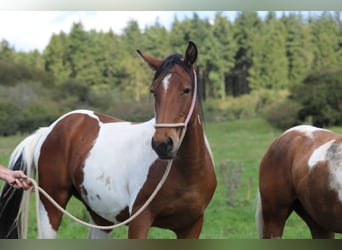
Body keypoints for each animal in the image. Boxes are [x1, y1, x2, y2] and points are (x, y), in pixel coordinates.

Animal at [0, 42, 216, 239]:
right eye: (153, 91)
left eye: (187, 90)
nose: (162, 144)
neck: (185, 173)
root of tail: (49, 129)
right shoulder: (139, 222)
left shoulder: (192, 226)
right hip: (51, 206)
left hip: (100, 217)